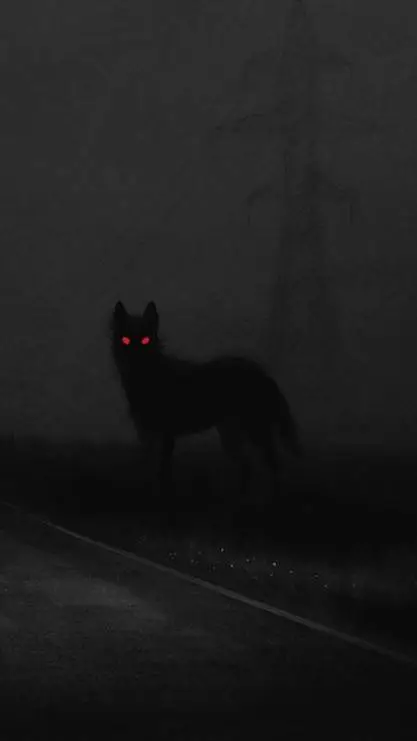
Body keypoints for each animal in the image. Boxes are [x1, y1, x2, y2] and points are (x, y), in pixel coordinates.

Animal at [110, 300, 301, 500]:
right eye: (125, 340)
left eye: (145, 340)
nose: (134, 356)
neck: (147, 378)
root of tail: (265, 375)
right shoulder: (146, 437)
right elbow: (150, 472)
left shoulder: (167, 437)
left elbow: (163, 475)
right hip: (230, 435)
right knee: (248, 466)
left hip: (255, 433)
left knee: (274, 466)